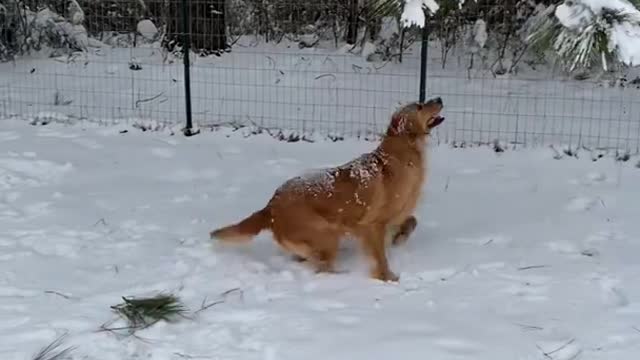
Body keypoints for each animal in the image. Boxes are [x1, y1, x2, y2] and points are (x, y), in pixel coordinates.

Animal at [210, 97, 444, 282]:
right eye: (420, 106)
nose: (439, 98)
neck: (402, 155)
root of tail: (271, 205)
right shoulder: (373, 225)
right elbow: (380, 257)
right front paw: (387, 277)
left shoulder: (396, 215)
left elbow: (412, 221)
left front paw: (399, 238)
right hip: (328, 234)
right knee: (322, 267)